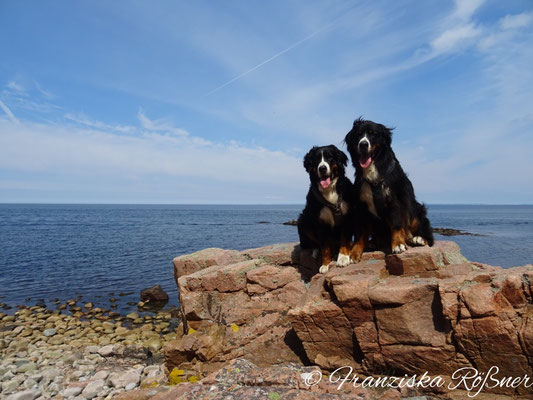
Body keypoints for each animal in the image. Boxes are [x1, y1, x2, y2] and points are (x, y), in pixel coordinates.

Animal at [298, 145, 356, 274]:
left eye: (330, 157)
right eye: (316, 160)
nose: (322, 168)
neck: (329, 191)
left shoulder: (348, 217)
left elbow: (345, 239)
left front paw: (343, 258)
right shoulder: (320, 222)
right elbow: (325, 246)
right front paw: (325, 264)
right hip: (304, 220)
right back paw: (316, 251)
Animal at [344, 117, 432, 260]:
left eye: (373, 134)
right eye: (358, 135)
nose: (363, 144)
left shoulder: (394, 199)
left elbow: (396, 224)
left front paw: (398, 245)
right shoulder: (361, 206)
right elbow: (360, 232)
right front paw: (355, 252)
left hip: (416, 209)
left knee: (427, 234)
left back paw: (418, 239)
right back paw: (373, 243)